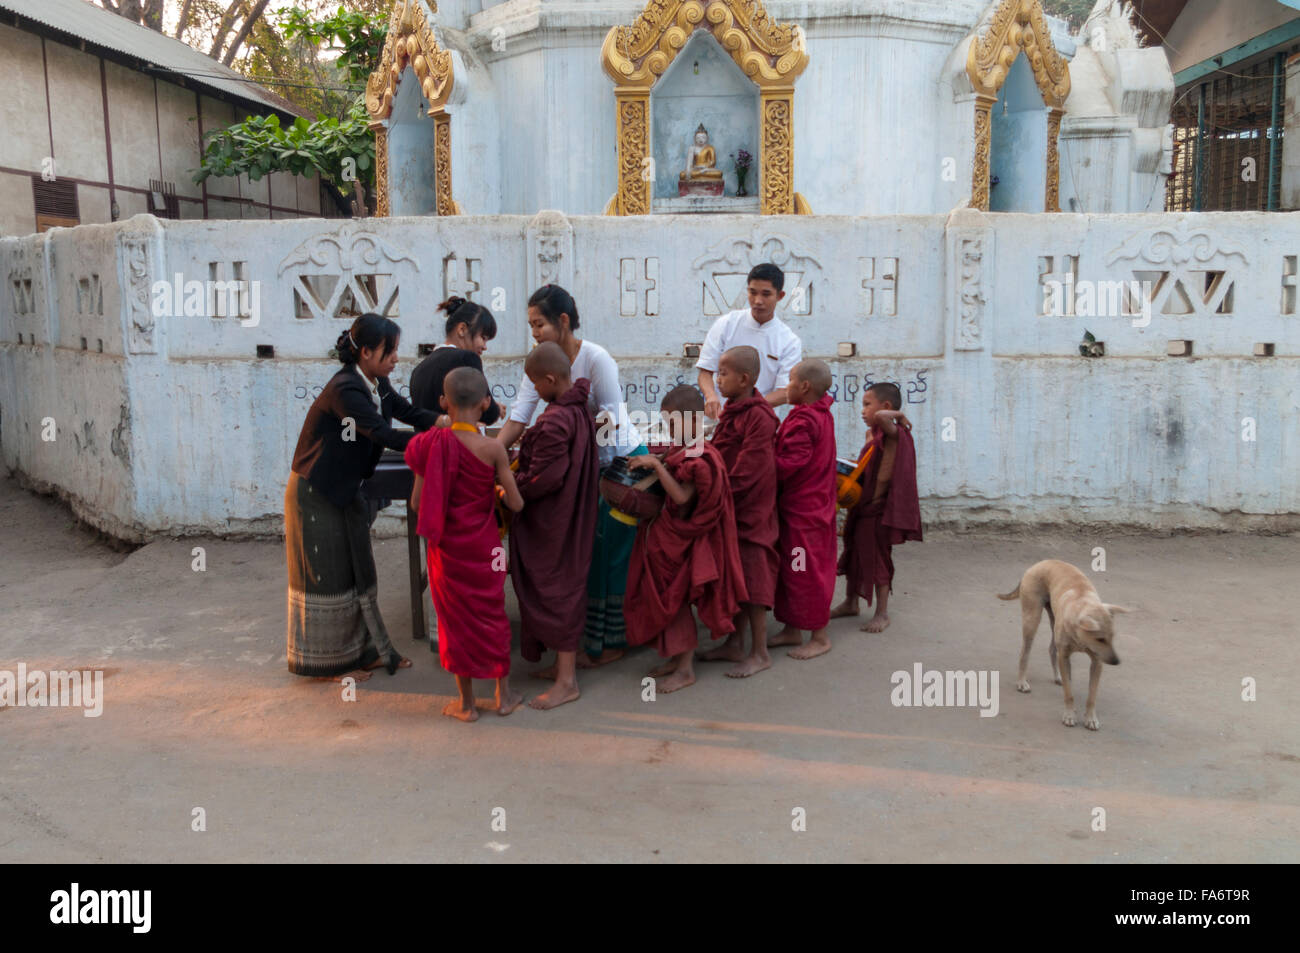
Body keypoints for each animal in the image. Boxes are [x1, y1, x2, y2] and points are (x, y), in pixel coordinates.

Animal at [993, 556, 1128, 728]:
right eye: (1100, 639)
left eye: (1112, 637)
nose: (1117, 662)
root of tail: (1040, 563)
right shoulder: (1064, 657)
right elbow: (1069, 693)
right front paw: (1069, 715)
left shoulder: (1097, 662)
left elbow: (1091, 695)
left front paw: (1091, 718)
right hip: (1032, 618)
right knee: (1025, 653)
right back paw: (1022, 682)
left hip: (1053, 619)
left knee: (1052, 650)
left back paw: (1058, 677)